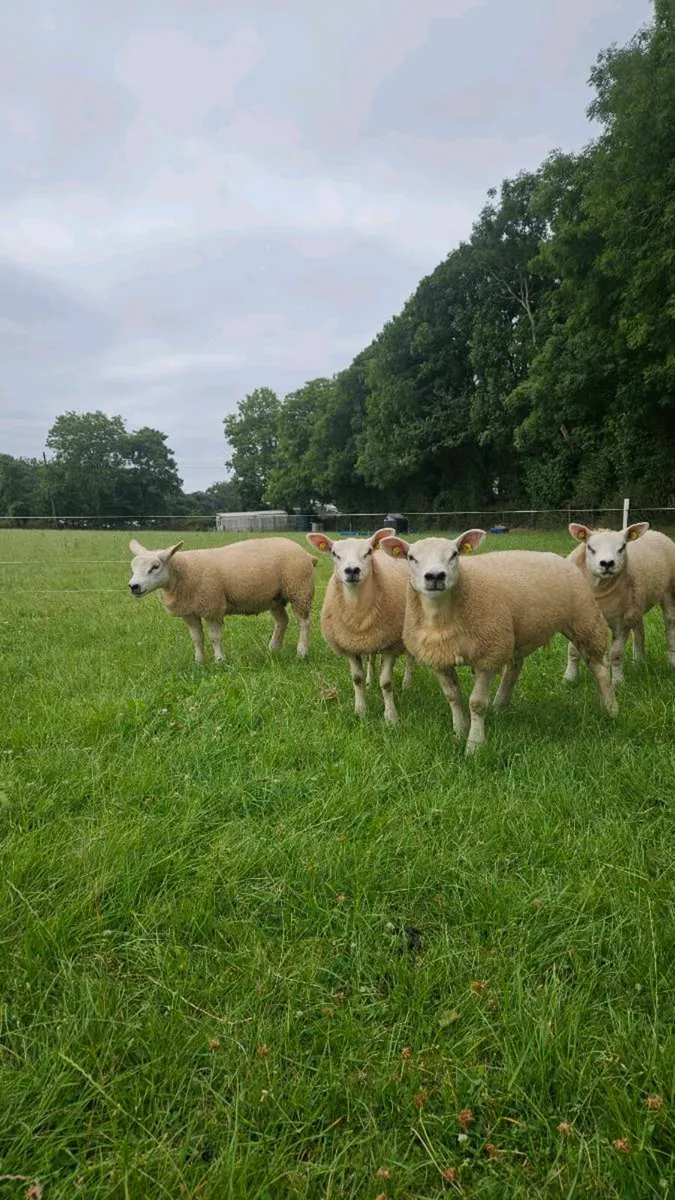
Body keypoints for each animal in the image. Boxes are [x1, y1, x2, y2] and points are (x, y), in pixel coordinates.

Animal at [128, 537, 317, 663]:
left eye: (155, 566)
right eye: (133, 567)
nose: (133, 586)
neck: (184, 573)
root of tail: (306, 553)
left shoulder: (212, 607)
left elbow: (214, 637)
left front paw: (220, 660)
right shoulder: (189, 612)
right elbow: (197, 638)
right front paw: (198, 662)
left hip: (300, 590)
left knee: (304, 622)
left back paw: (301, 652)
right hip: (274, 598)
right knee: (282, 620)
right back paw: (273, 648)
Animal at [306, 528, 414, 723]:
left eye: (368, 552)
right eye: (334, 554)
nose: (352, 570)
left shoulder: (391, 646)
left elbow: (386, 682)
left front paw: (391, 717)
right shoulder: (349, 645)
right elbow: (357, 679)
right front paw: (361, 711)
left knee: (410, 657)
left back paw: (407, 683)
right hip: (372, 638)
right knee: (371, 658)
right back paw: (370, 681)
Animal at [380, 531, 617, 754]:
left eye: (454, 554)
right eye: (411, 557)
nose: (435, 576)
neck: (440, 617)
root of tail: (559, 558)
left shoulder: (488, 654)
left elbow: (476, 703)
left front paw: (474, 745)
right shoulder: (440, 658)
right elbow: (453, 697)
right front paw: (459, 732)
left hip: (584, 619)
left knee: (601, 669)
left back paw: (610, 709)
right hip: (517, 633)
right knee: (514, 667)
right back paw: (500, 704)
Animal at [564, 522, 675, 684]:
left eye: (622, 547)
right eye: (590, 547)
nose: (607, 563)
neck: (599, 590)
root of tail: (656, 532)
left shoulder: (621, 622)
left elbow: (616, 654)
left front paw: (618, 682)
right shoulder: (579, 618)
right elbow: (573, 651)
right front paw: (569, 678)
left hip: (669, 593)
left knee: (670, 628)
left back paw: (672, 663)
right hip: (636, 605)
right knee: (639, 632)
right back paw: (638, 662)